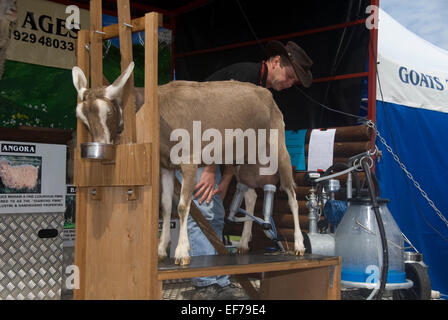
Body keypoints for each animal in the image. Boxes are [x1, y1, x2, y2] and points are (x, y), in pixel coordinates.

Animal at [73, 62, 304, 264]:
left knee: (291, 193)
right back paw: (244, 243)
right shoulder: (166, 166)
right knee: (250, 195)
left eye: (109, 112)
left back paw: (299, 245)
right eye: (82, 118)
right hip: (244, 160)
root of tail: (269, 95)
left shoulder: (189, 161)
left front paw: (182, 252)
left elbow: (183, 206)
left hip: (279, 147)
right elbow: (166, 206)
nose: (100, 147)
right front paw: (160, 249)